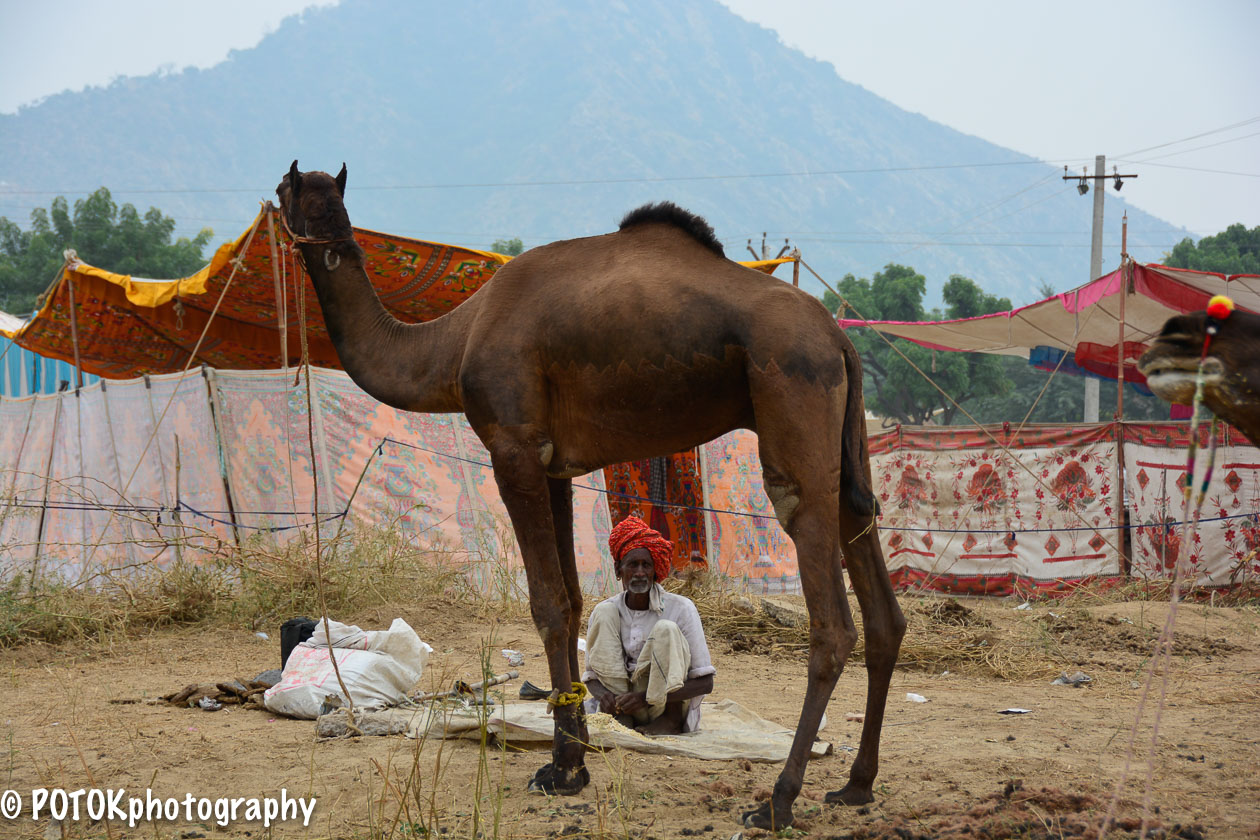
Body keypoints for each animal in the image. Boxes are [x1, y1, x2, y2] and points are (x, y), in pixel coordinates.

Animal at [275, 161, 907, 831]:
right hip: (847, 449)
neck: (456, 343)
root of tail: (840, 340)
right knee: (880, 599)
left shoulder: (513, 449)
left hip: (794, 403)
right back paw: (857, 784)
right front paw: (572, 758)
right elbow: (575, 600)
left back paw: (779, 800)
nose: (312, 235)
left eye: (297, 197)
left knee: (831, 619)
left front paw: (561, 767)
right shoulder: (553, 464)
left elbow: (548, 604)